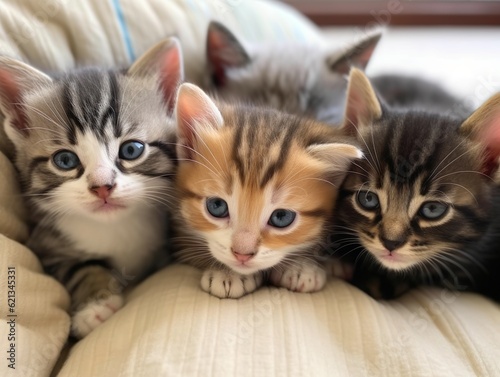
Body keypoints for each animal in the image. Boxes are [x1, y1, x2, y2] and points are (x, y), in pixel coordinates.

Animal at [0, 38, 184, 338]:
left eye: (131, 150)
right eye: (65, 160)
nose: (102, 187)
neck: (115, 227)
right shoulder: (48, 248)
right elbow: (81, 268)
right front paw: (93, 307)